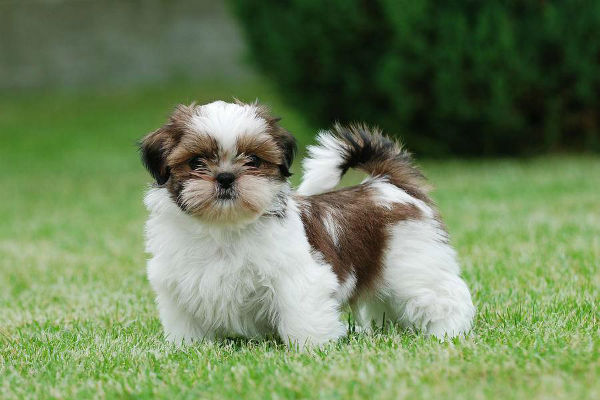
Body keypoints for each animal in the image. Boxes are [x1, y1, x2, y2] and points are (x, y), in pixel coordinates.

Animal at [139, 99, 474, 346]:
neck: (224, 227)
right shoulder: (178, 283)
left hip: (412, 261)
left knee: (442, 295)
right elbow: (186, 321)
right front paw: (189, 347)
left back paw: (448, 333)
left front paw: (312, 348)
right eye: (196, 162)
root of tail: (386, 183)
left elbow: (300, 310)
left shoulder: (296, 276)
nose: (225, 177)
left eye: (253, 160)